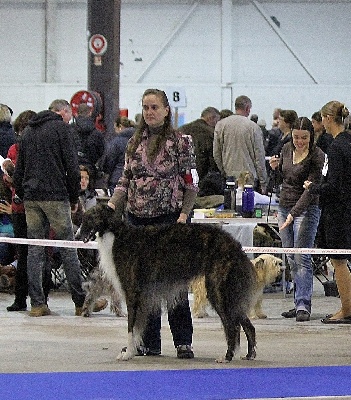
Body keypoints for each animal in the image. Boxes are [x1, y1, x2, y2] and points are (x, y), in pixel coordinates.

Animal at [81, 203, 258, 362]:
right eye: (84, 218)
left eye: (90, 217)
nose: (77, 236)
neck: (117, 235)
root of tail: (235, 245)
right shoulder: (143, 298)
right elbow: (138, 328)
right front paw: (134, 351)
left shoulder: (132, 293)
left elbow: (131, 327)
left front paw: (127, 354)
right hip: (230, 294)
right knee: (247, 325)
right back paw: (249, 355)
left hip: (217, 290)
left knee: (232, 326)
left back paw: (227, 357)